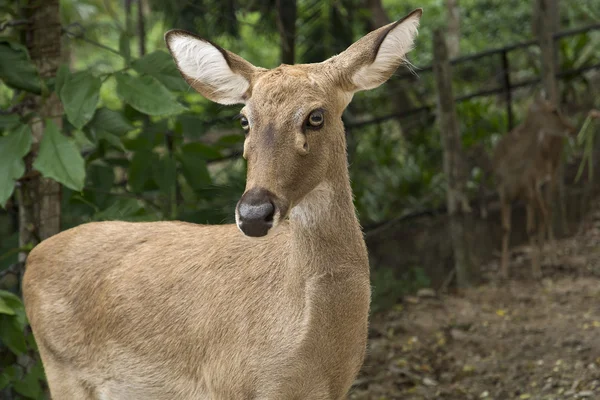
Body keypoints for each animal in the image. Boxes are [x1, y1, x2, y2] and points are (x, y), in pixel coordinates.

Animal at [19, 9, 422, 400]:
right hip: (62, 370)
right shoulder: (226, 382)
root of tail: (33, 257)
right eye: (244, 120)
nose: (254, 214)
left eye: (316, 116)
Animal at [492, 95, 576, 280]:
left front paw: (536, 270)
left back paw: (552, 258)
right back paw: (544, 256)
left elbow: (530, 228)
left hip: (552, 174)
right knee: (544, 213)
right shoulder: (503, 190)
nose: (572, 128)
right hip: (539, 187)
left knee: (549, 210)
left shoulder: (528, 187)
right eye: (554, 110)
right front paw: (502, 272)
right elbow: (504, 228)